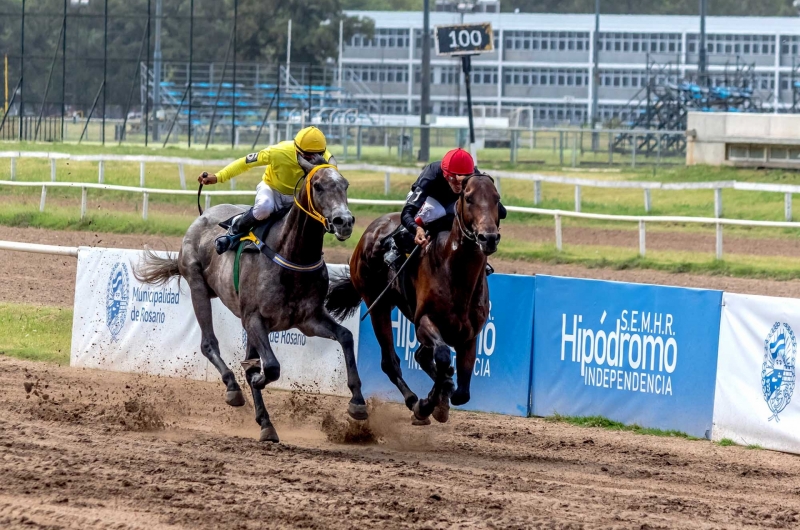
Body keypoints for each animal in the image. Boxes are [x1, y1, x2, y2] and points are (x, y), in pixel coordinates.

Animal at [134, 157, 366, 442]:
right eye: (318, 186)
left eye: (345, 184)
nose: (344, 221)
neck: (292, 256)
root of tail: (201, 217)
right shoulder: (255, 318)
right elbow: (271, 367)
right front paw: (253, 381)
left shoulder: (309, 320)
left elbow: (346, 336)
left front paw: (357, 402)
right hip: (198, 285)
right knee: (209, 344)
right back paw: (233, 388)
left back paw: (265, 421)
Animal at [324, 173, 500, 420]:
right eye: (468, 198)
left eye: (497, 198)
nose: (488, 238)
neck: (455, 273)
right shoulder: (424, 322)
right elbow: (443, 356)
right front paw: (427, 404)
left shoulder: (469, 334)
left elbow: (462, 392)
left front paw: (442, 397)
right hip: (377, 304)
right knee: (390, 362)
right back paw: (410, 399)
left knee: (421, 357)